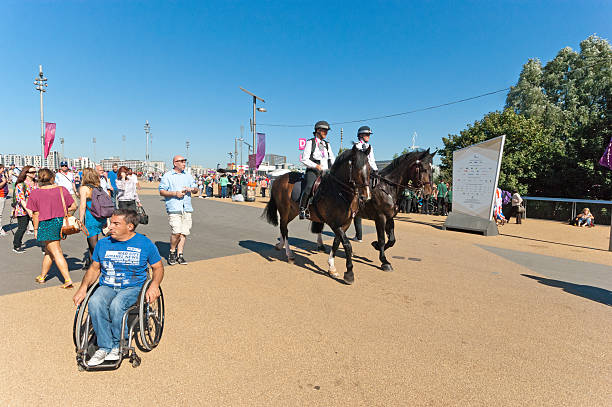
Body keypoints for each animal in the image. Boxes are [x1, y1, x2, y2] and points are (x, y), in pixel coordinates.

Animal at [260, 145, 370, 286]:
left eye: (369, 168)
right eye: (356, 168)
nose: (366, 196)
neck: (339, 192)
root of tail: (279, 179)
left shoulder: (345, 224)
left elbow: (336, 243)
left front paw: (332, 268)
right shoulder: (334, 224)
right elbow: (347, 245)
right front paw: (349, 274)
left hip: (292, 212)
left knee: (283, 227)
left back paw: (281, 245)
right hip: (284, 211)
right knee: (284, 229)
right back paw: (289, 255)